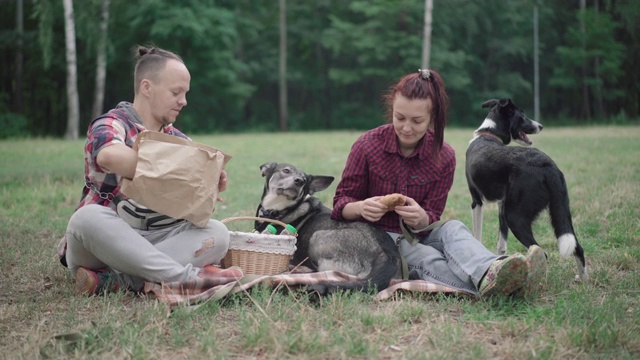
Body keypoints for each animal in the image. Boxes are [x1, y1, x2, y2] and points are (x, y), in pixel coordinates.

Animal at [255, 163, 400, 296]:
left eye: (304, 180)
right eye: (286, 170)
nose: (299, 181)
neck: (278, 209)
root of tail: (388, 254)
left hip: (317, 237)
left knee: (322, 271)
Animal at [464, 98, 592, 282]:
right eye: (523, 117)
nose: (541, 126)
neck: (488, 135)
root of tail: (547, 164)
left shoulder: (477, 202)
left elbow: (477, 237)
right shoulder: (501, 205)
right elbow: (501, 244)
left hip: (515, 217)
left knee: (543, 253)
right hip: (560, 211)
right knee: (578, 247)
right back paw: (583, 279)